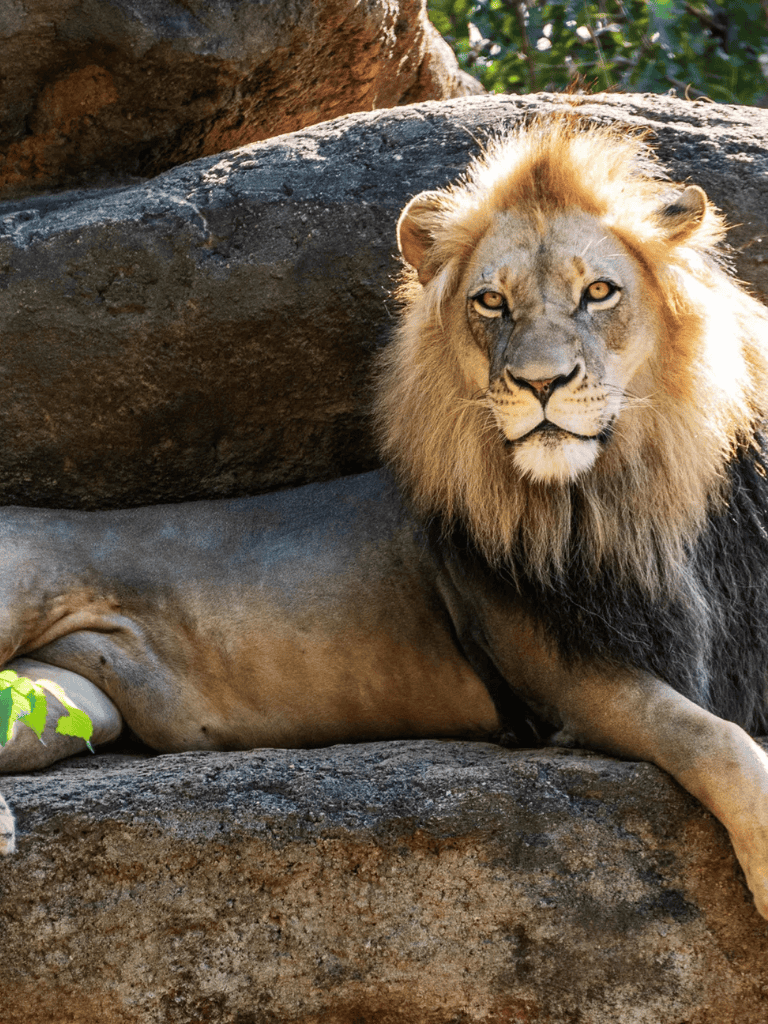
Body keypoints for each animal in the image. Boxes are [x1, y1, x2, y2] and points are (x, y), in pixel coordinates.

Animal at [2, 117, 768, 920]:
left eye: (598, 292)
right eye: (490, 302)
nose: (540, 384)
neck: (628, 493)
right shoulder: (570, 681)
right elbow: (712, 738)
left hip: (75, 705)